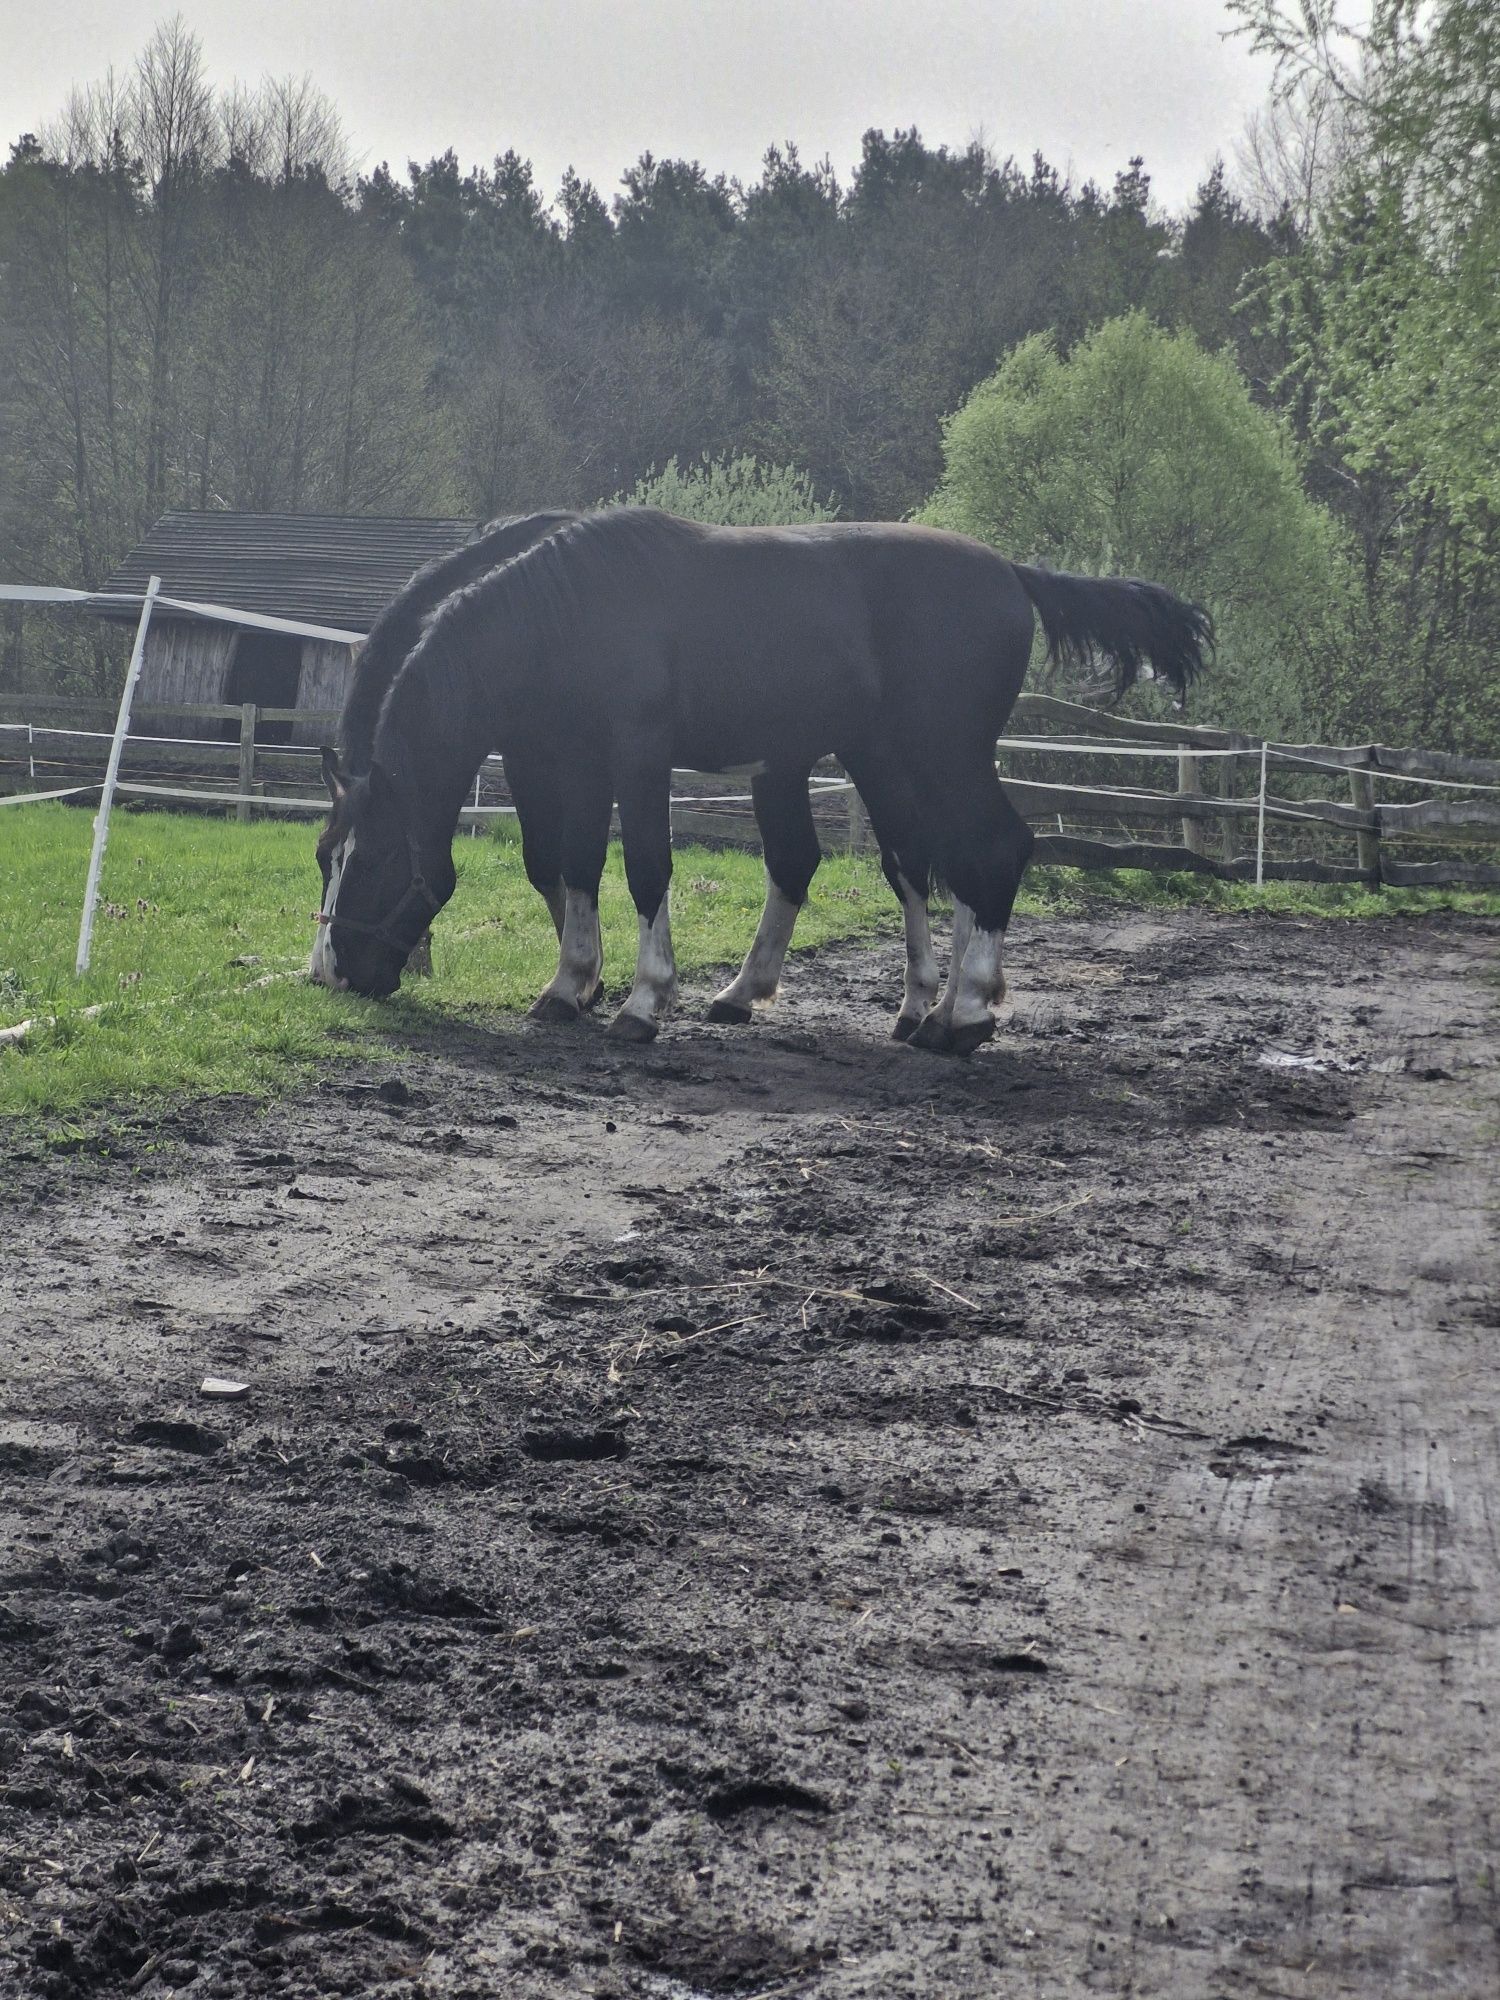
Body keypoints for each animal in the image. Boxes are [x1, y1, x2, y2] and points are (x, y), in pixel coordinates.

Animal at [312, 508, 1216, 1056]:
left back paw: (960, 1016)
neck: (569, 616)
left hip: (943, 753)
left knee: (990, 850)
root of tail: (1013, 575)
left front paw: (641, 1000)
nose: (333, 975)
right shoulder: (564, 762)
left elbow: (642, 870)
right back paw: (905, 1005)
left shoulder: (633, 758)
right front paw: (571, 985)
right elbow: (568, 868)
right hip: (891, 759)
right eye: (326, 858)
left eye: (372, 861)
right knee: (921, 863)